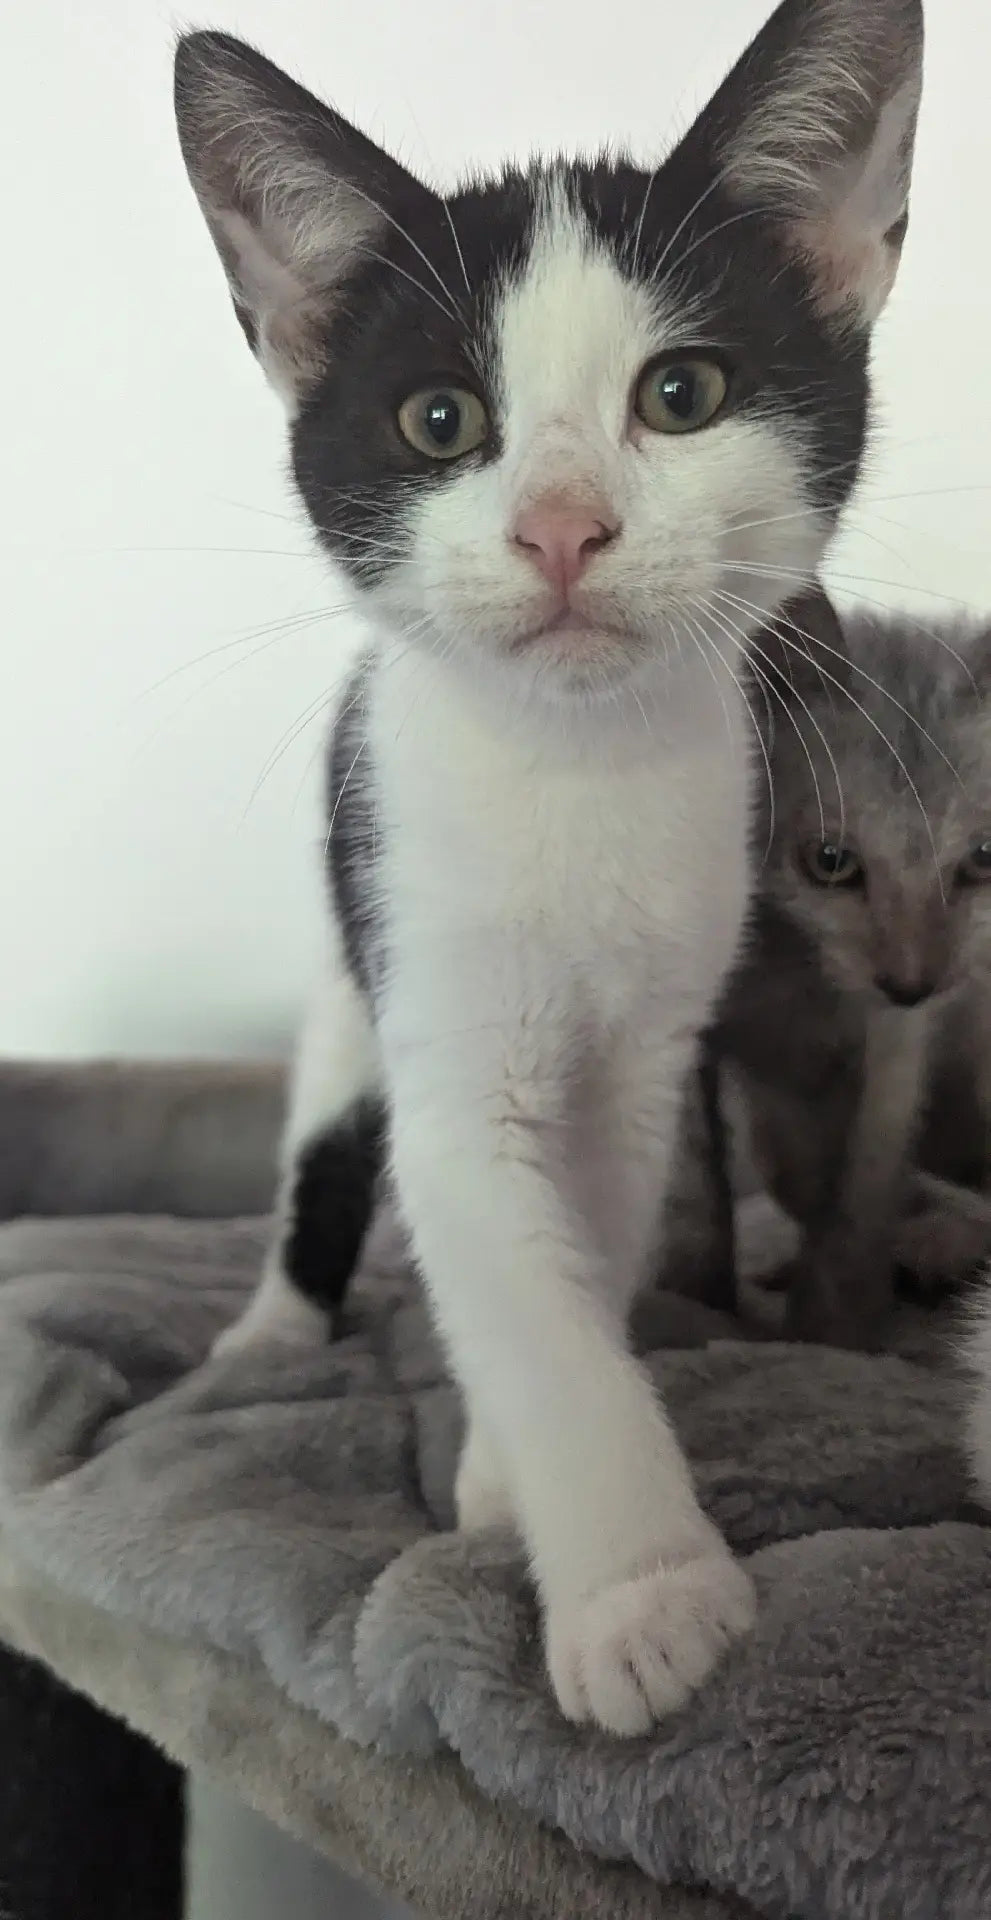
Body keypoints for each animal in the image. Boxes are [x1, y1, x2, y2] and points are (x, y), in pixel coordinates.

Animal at [173, 0, 925, 1735]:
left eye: (682, 392)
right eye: (440, 422)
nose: (563, 526)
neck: (575, 775)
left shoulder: (644, 1057)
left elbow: (579, 1248)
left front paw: (523, 1491)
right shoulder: (440, 1026)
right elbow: (516, 1287)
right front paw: (642, 1599)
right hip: (348, 976)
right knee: (322, 1158)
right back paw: (270, 1330)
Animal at [664, 602, 991, 1351]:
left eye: (987, 856)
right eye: (830, 861)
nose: (911, 984)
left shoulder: (896, 1046)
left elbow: (863, 1186)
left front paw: (832, 1331)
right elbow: (694, 1188)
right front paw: (688, 1308)